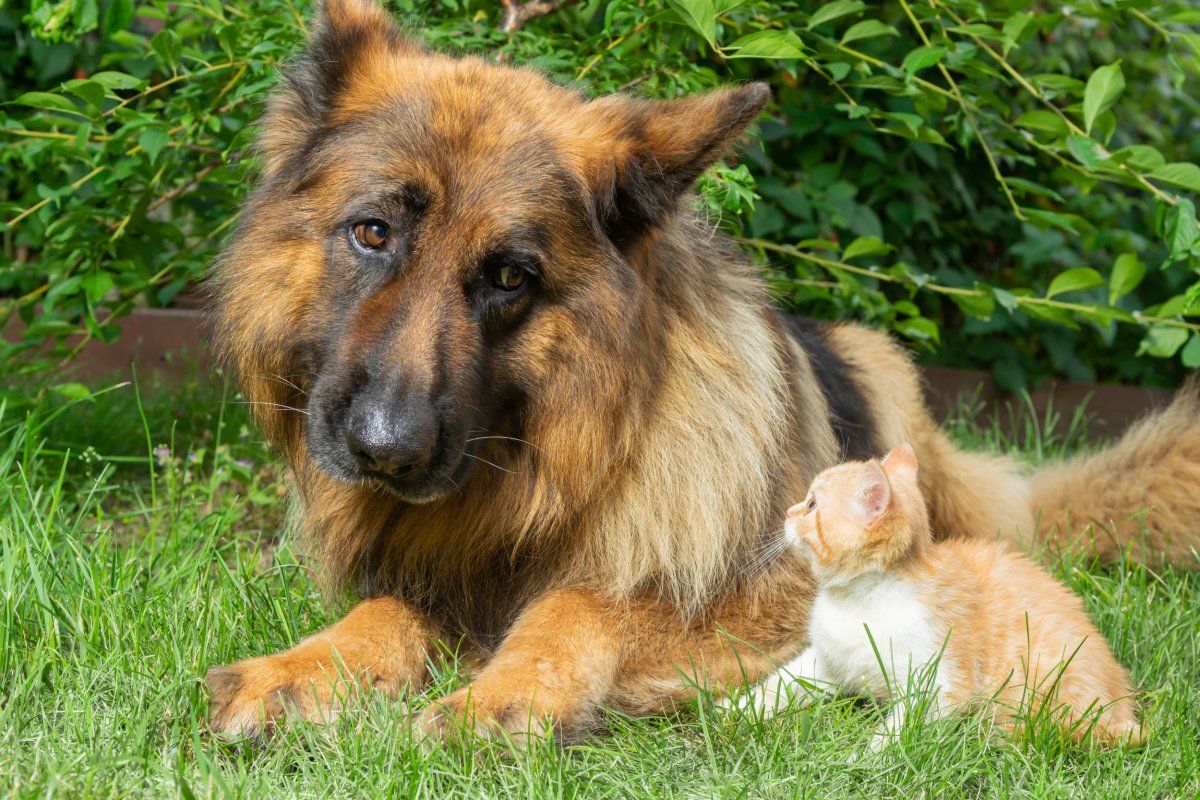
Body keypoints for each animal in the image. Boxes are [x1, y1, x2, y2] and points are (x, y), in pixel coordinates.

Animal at [724, 443, 1137, 753]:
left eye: (812, 505)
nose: (787, 511)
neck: (861, 598)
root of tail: (1123, 704)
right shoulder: (825, 661)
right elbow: (779, 684)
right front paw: (732, 711)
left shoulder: (939, 683)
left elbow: (899, 732)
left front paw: (864, 760)